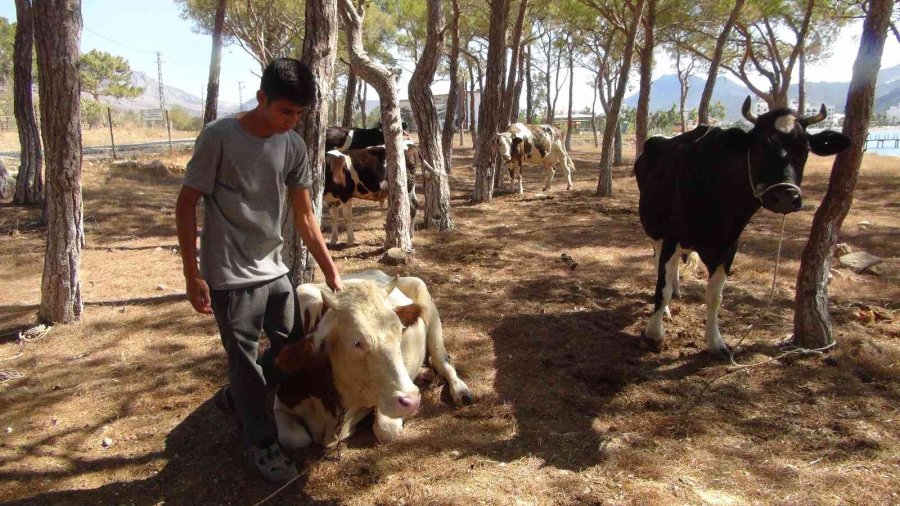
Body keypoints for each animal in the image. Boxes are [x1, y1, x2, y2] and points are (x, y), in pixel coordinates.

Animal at [272, 268, 472, 446]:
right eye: (356, 343)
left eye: (400, 330)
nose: (412, 400)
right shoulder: (281, 404)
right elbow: (294, 439)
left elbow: (385, 429)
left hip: (425, 301)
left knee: (443, 362)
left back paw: (460, 391)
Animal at [632, 96, 852, 356]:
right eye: (758, 148)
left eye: (805, 150)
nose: (785, 196)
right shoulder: (672, 237)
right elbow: (661, 288)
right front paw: (654, 334)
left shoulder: (729, 247)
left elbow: (715, 296)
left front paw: (715, 342)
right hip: (655, 230)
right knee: (659, 265)